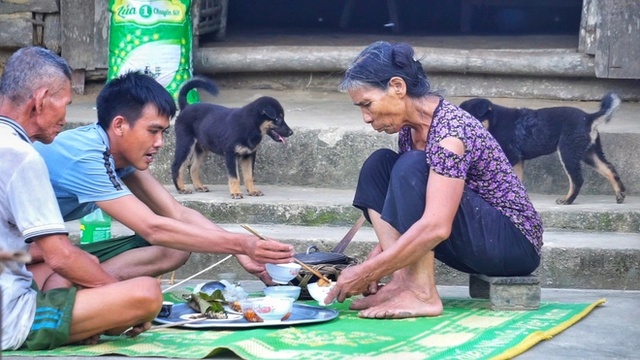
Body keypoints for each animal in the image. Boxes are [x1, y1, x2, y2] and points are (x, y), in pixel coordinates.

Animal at [460, 93, 624, 204]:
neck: (494, 121)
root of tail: (589, 118)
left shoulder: (512, 156)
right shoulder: (518, 159)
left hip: (568, 151)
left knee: (577, 179)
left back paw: (567, 200)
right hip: (589, 152)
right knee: (608, 168)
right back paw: (620, 194)